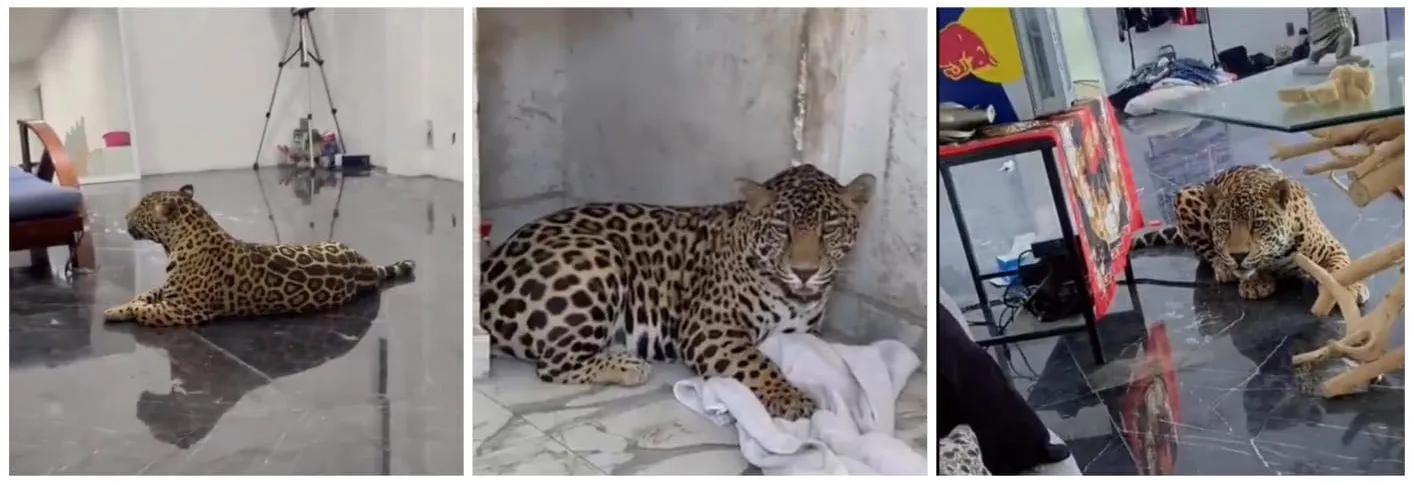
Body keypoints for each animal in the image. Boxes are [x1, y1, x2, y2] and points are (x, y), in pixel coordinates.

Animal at [103, 184, 416, 327]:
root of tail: (365, 266)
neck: (178, 241)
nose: (125, 215)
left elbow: (145, 310)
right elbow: (143, 294)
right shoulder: (170, 292)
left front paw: (126, 311)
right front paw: (116, 308)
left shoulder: (186, 309)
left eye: (141, 208)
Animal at [478, 164, 876, 421]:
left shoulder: (805, 333)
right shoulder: (710, 329)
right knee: (554, 365)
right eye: (782, 229)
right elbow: (757, 363)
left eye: (830, 229)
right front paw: (789, 398)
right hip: (599, 253)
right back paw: (628, 365)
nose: (804, 272)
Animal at [1131, 164, 1368, 303]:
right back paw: (1224, 268)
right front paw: (1254, 282)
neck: (1279, 254)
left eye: (1258, 224)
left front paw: (1350, 289)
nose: (1237, 256)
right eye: (1225, 225)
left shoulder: (1331, 248)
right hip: (1186, 194)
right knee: (1206, 251)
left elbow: (1342, 268)